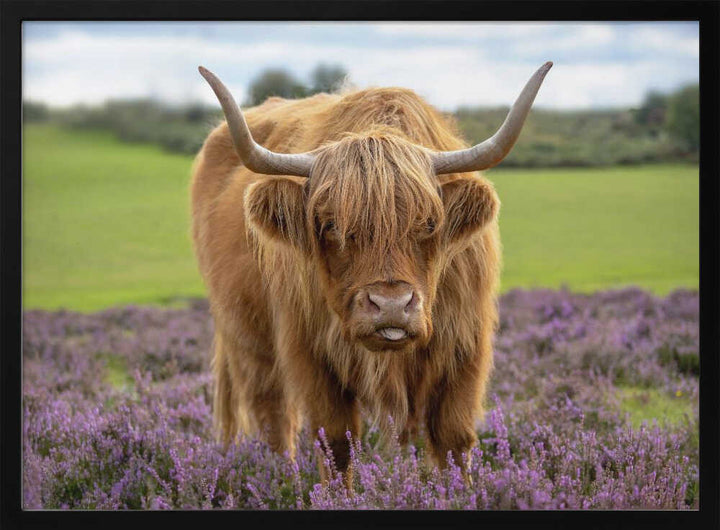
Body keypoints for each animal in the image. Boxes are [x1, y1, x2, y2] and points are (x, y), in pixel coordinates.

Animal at [191, 62, 552, 484]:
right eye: (331, 225)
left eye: (429, 223)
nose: (391, 306)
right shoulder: (311, 351)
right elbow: (334, 441)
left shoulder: (464, 345)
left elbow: (453, 439)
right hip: (248, 341)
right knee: (273, 418)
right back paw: (284, 479)